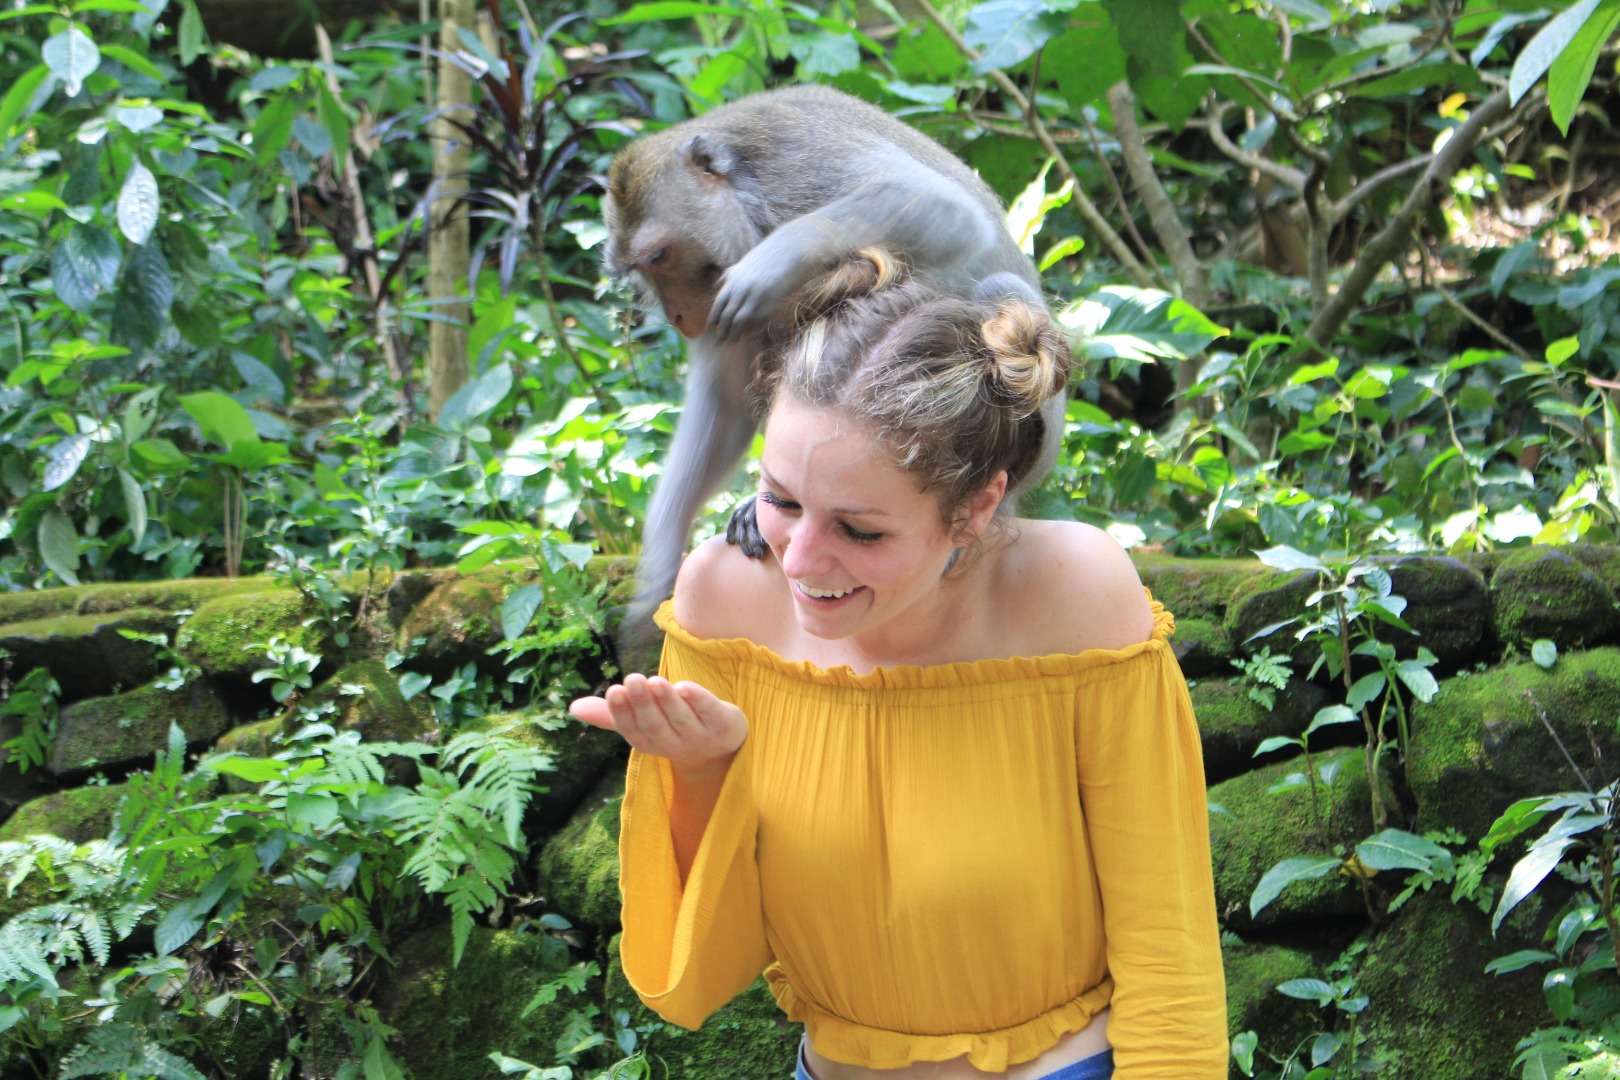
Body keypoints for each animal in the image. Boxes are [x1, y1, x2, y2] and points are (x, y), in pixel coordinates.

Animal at [605, 84, 1062, 650]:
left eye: (659, 256)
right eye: (643, 270)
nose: (678, 316)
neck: (749, 202)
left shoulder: (796, 171)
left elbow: (944, 207)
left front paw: (780, 256)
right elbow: (726, 404)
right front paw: (658, 575)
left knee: (1002, 289)